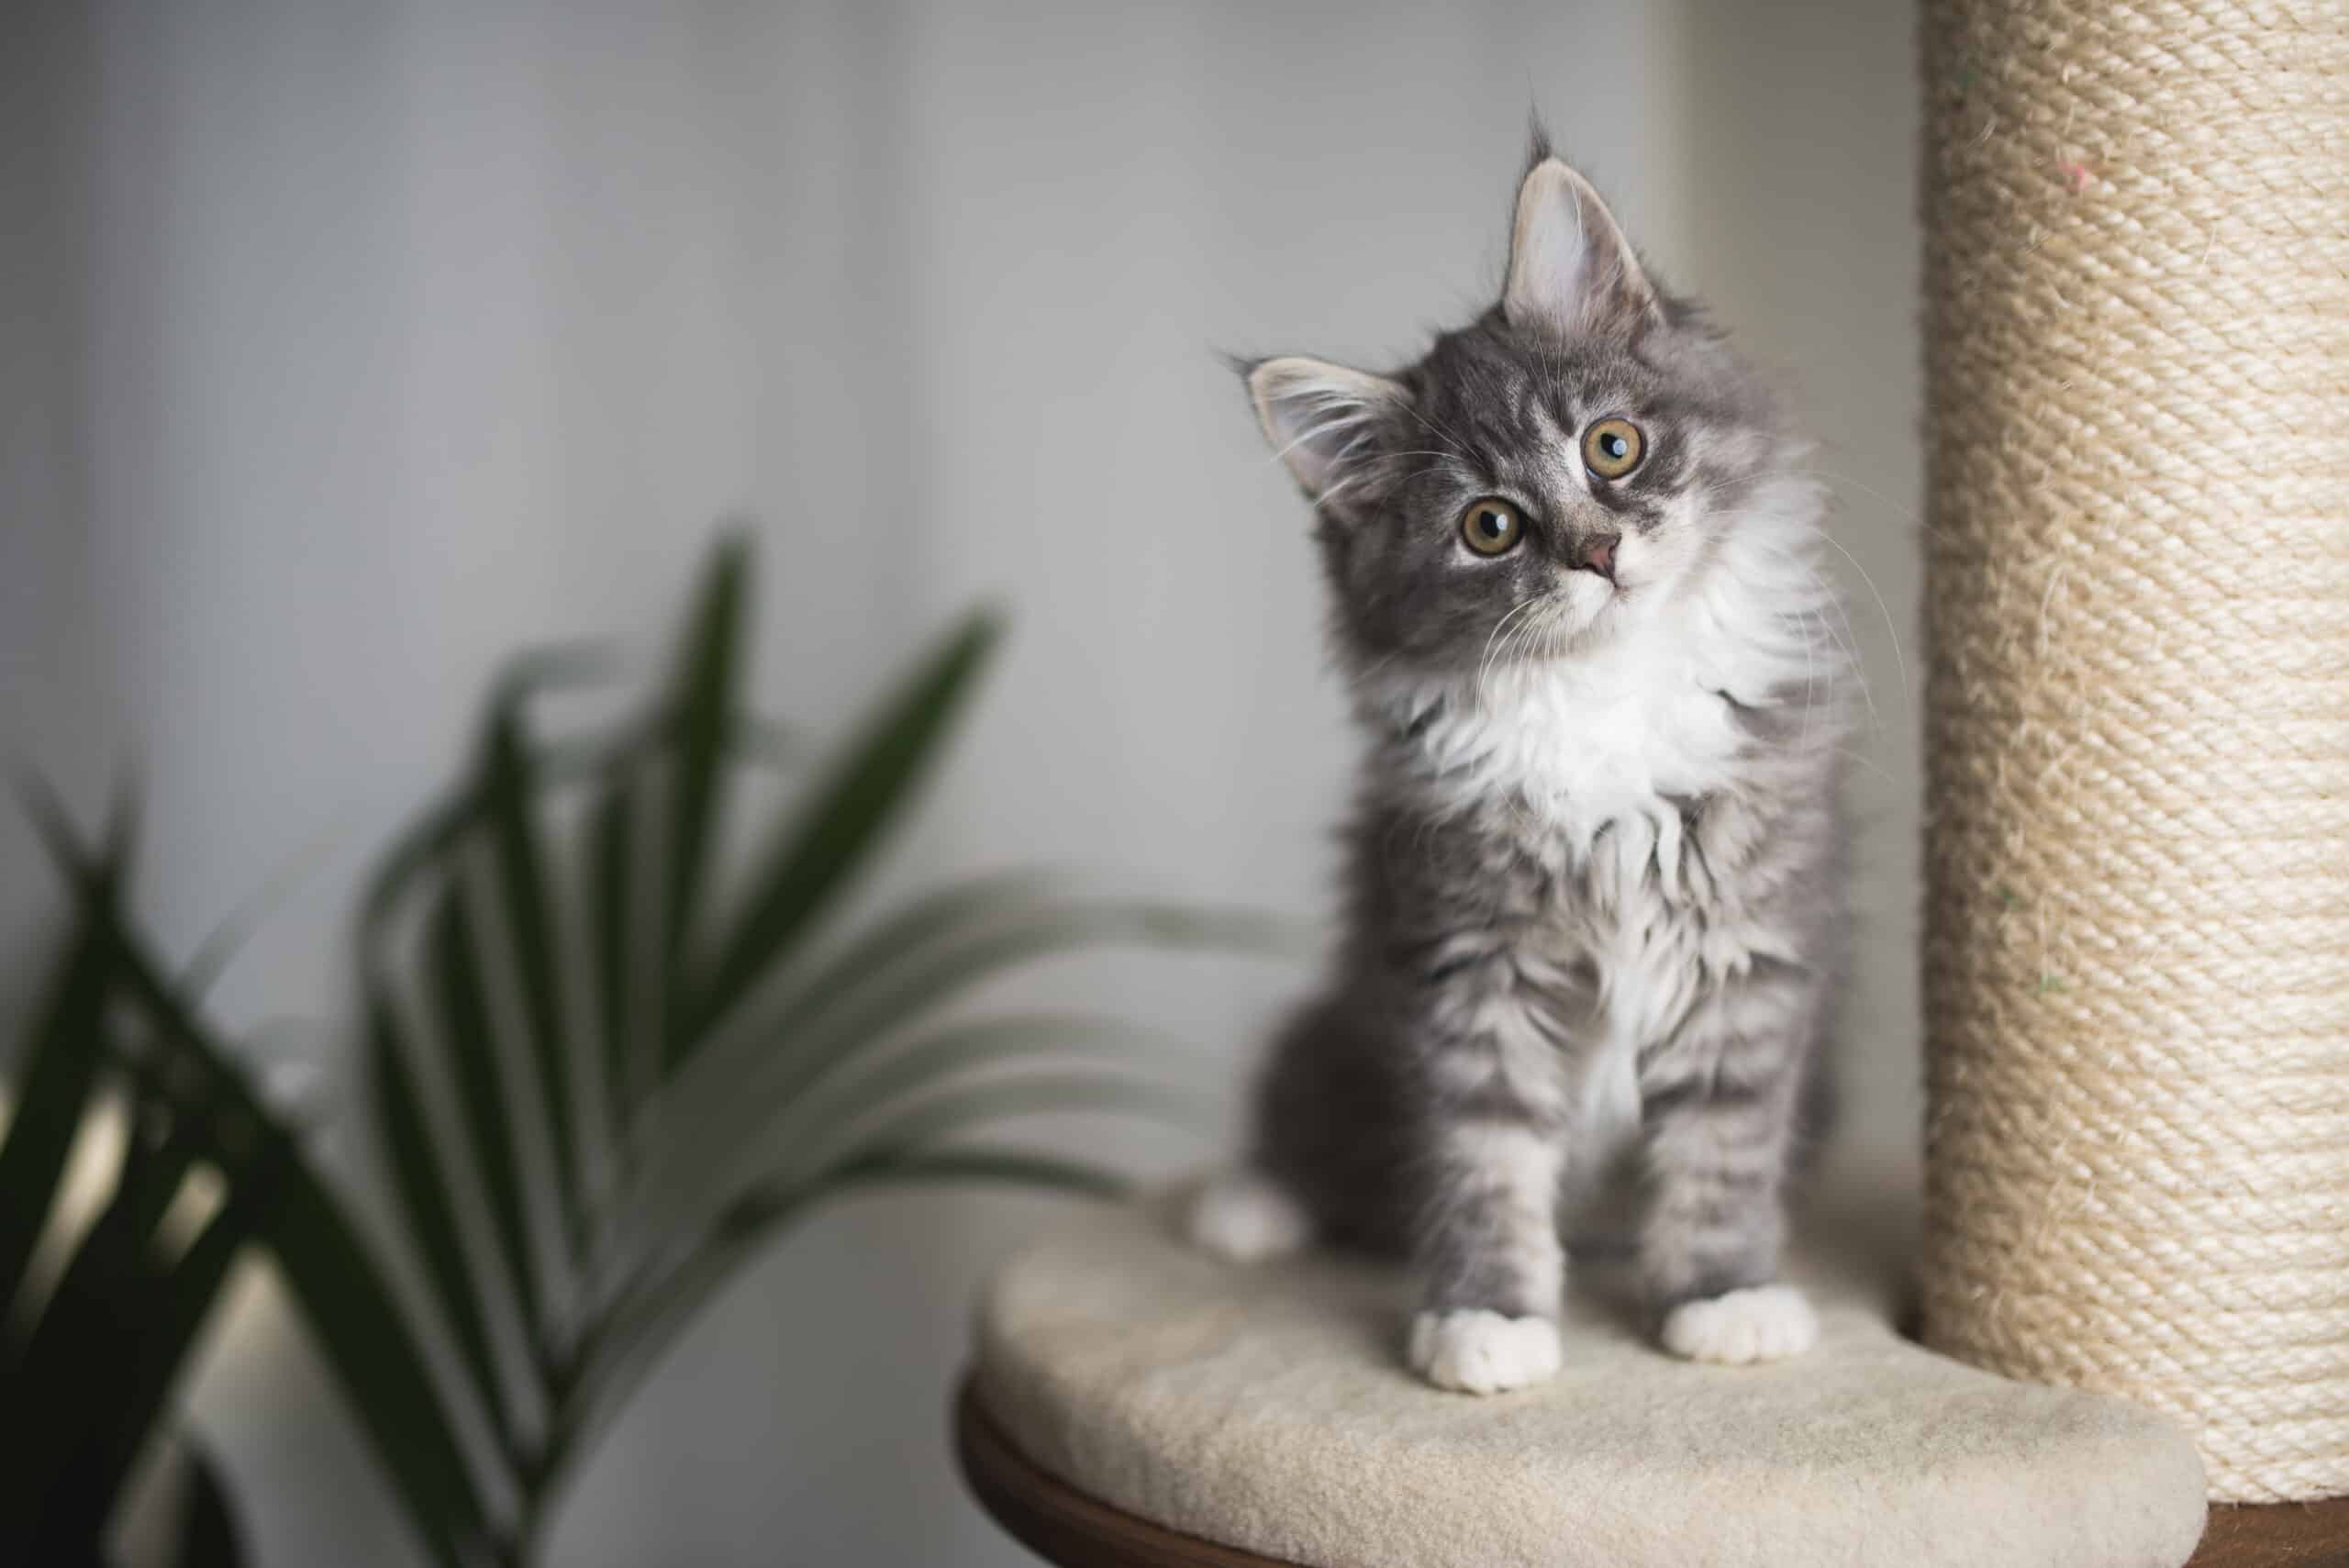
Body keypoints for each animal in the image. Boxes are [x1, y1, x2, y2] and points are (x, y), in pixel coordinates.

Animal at [1193, 143, 1851, 1398]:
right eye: (1489, 526)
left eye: (1612, 445)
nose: (1597, 553)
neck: (1601, 698)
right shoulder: (1465, 963)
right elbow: (1481, 1157)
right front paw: (1485, 1317)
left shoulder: (1744, 950)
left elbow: (1724, 1141)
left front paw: (1722, 1294)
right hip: (1337, 1030)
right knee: (1310, 1135)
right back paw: (1244, 1206)